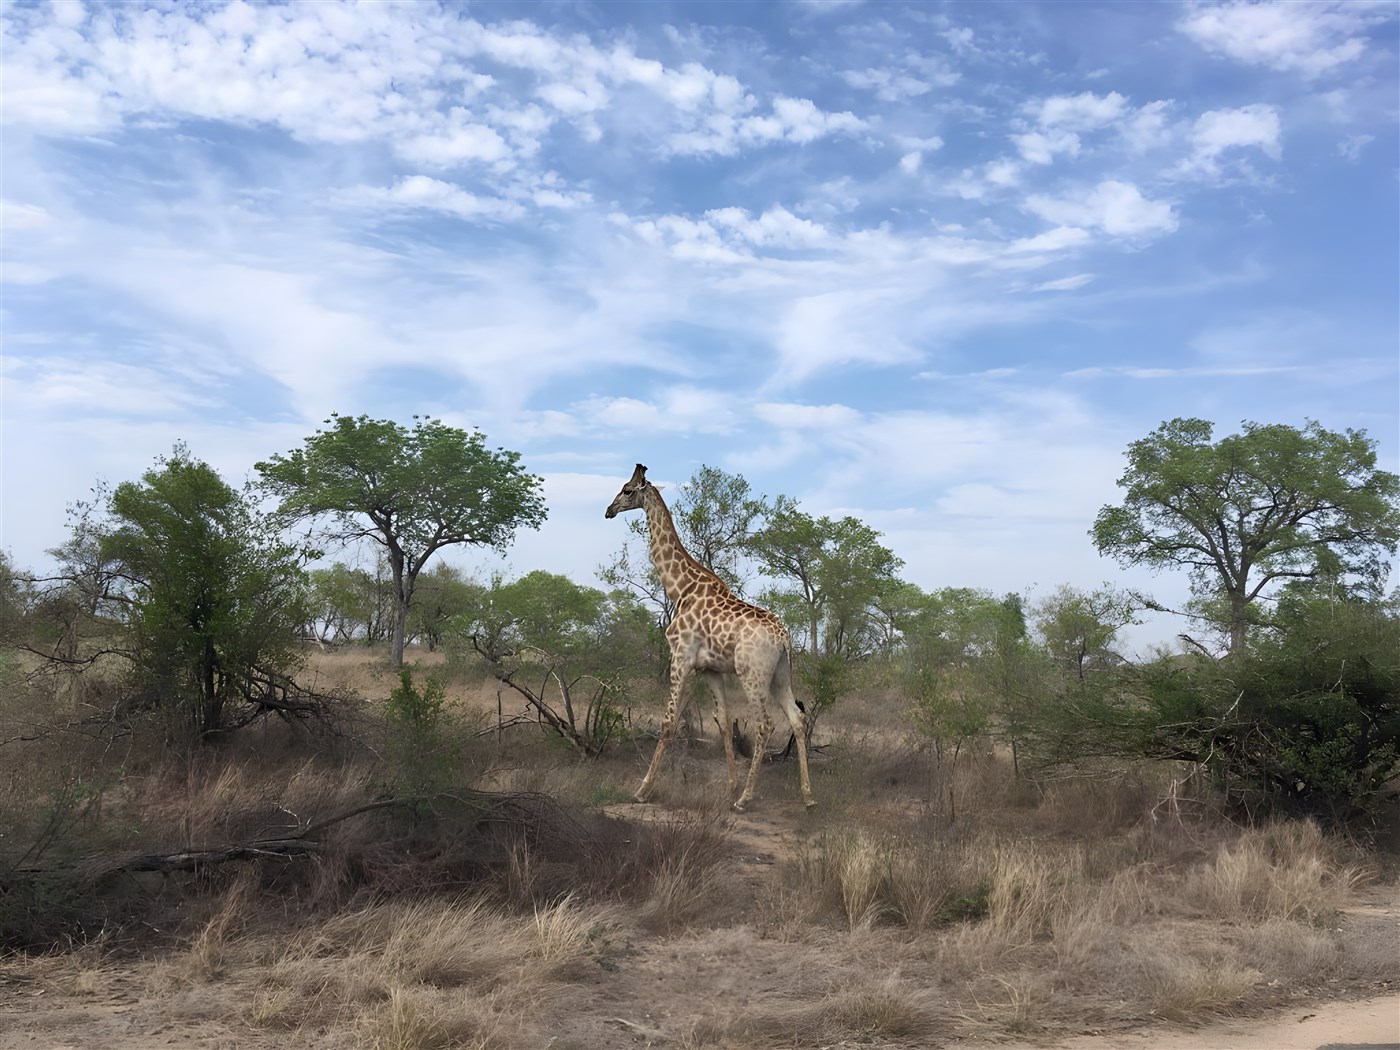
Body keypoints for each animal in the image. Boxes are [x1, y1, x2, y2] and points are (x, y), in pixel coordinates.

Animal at [605, 464, 815, 811]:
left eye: (627, 490)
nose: (608, 510)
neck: (680, 588)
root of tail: (784, 637)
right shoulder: (711, 670)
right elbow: (724, 722)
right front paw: (730, 786)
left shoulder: (680, 658)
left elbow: (668, 722)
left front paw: (642, 790)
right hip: (780, 674)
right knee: (797, 718)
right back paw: (807, 796)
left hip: (752, 674)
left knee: (765, 724)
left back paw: (746, 798)